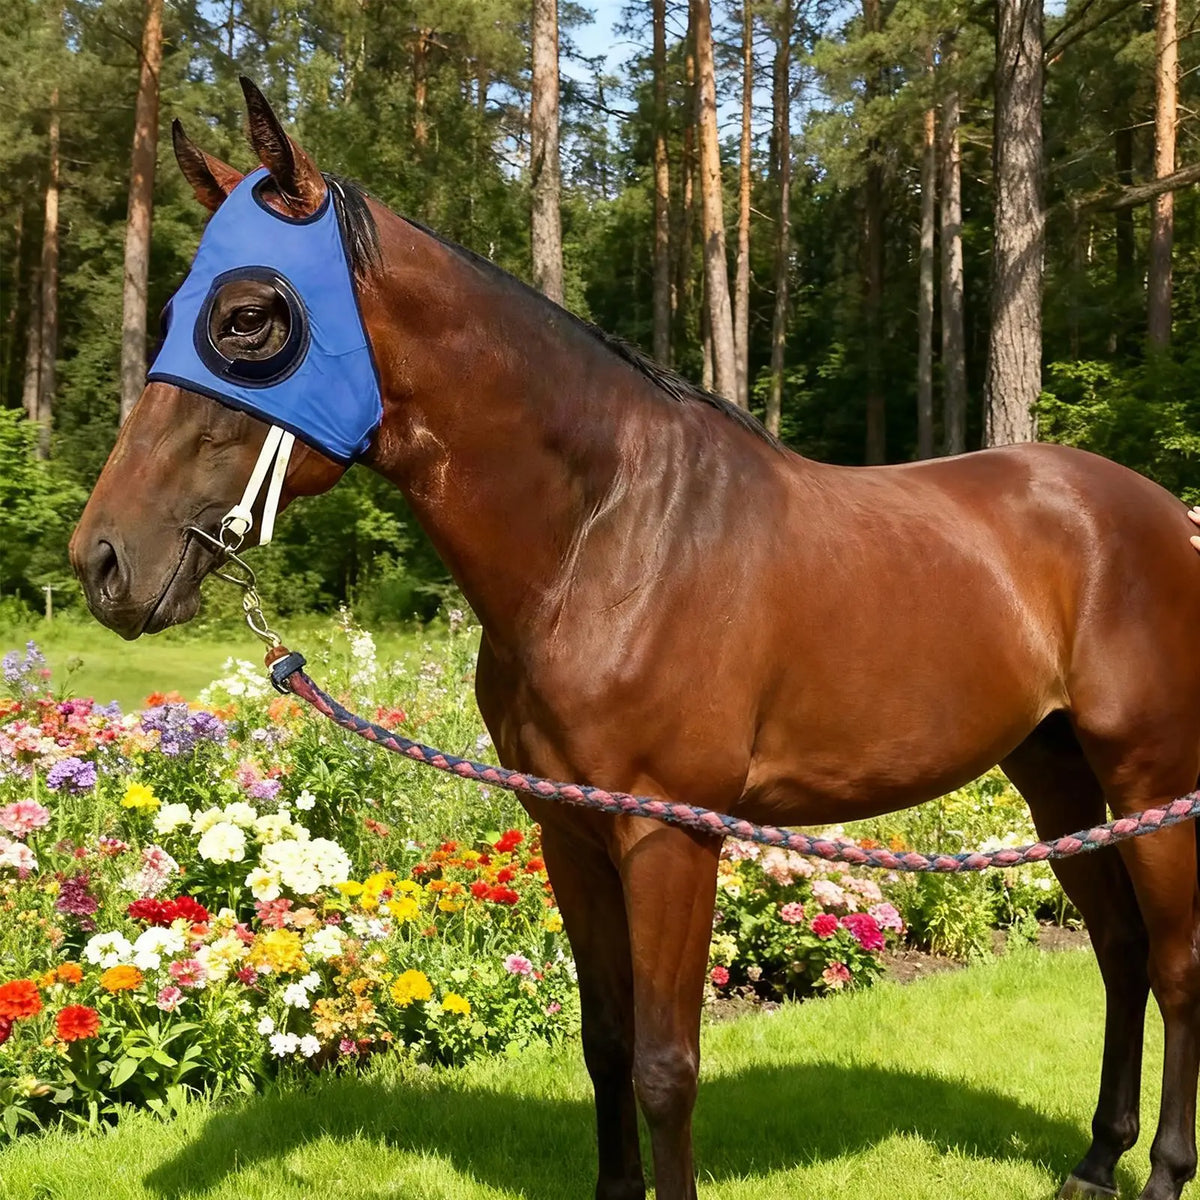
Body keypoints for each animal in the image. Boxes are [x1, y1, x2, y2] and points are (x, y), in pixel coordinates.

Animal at [70, 79, 1200, 1200]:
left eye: (249, 318)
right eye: (170, 314)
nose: (102, 562)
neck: (606, 538)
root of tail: (1164, 514)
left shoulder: (670, 833)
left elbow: (665, 1064)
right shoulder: (569, 831)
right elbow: (606, 1043)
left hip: (1148, 780)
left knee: (1175, 965)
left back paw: (1159, 1170)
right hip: (1054, 775)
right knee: (1119, 949)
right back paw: (1097, 1159)